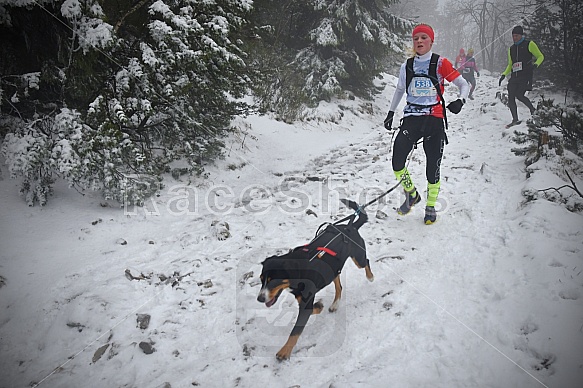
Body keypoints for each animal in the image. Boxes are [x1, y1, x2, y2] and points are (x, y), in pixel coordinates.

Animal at [258, 200, 376, 360]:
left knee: (366, 262)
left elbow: (295, 332)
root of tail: (349, 227)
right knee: (339, 286)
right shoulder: (303, 300)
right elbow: (314, 309)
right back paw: (335, 304)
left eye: (273, 281)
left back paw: (370, 277)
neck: (298, 271)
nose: (259, 298)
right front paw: (319, 306)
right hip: (333, 269)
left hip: (358, 258)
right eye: (261, 280)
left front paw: (284, 352)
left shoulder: (306, 303)